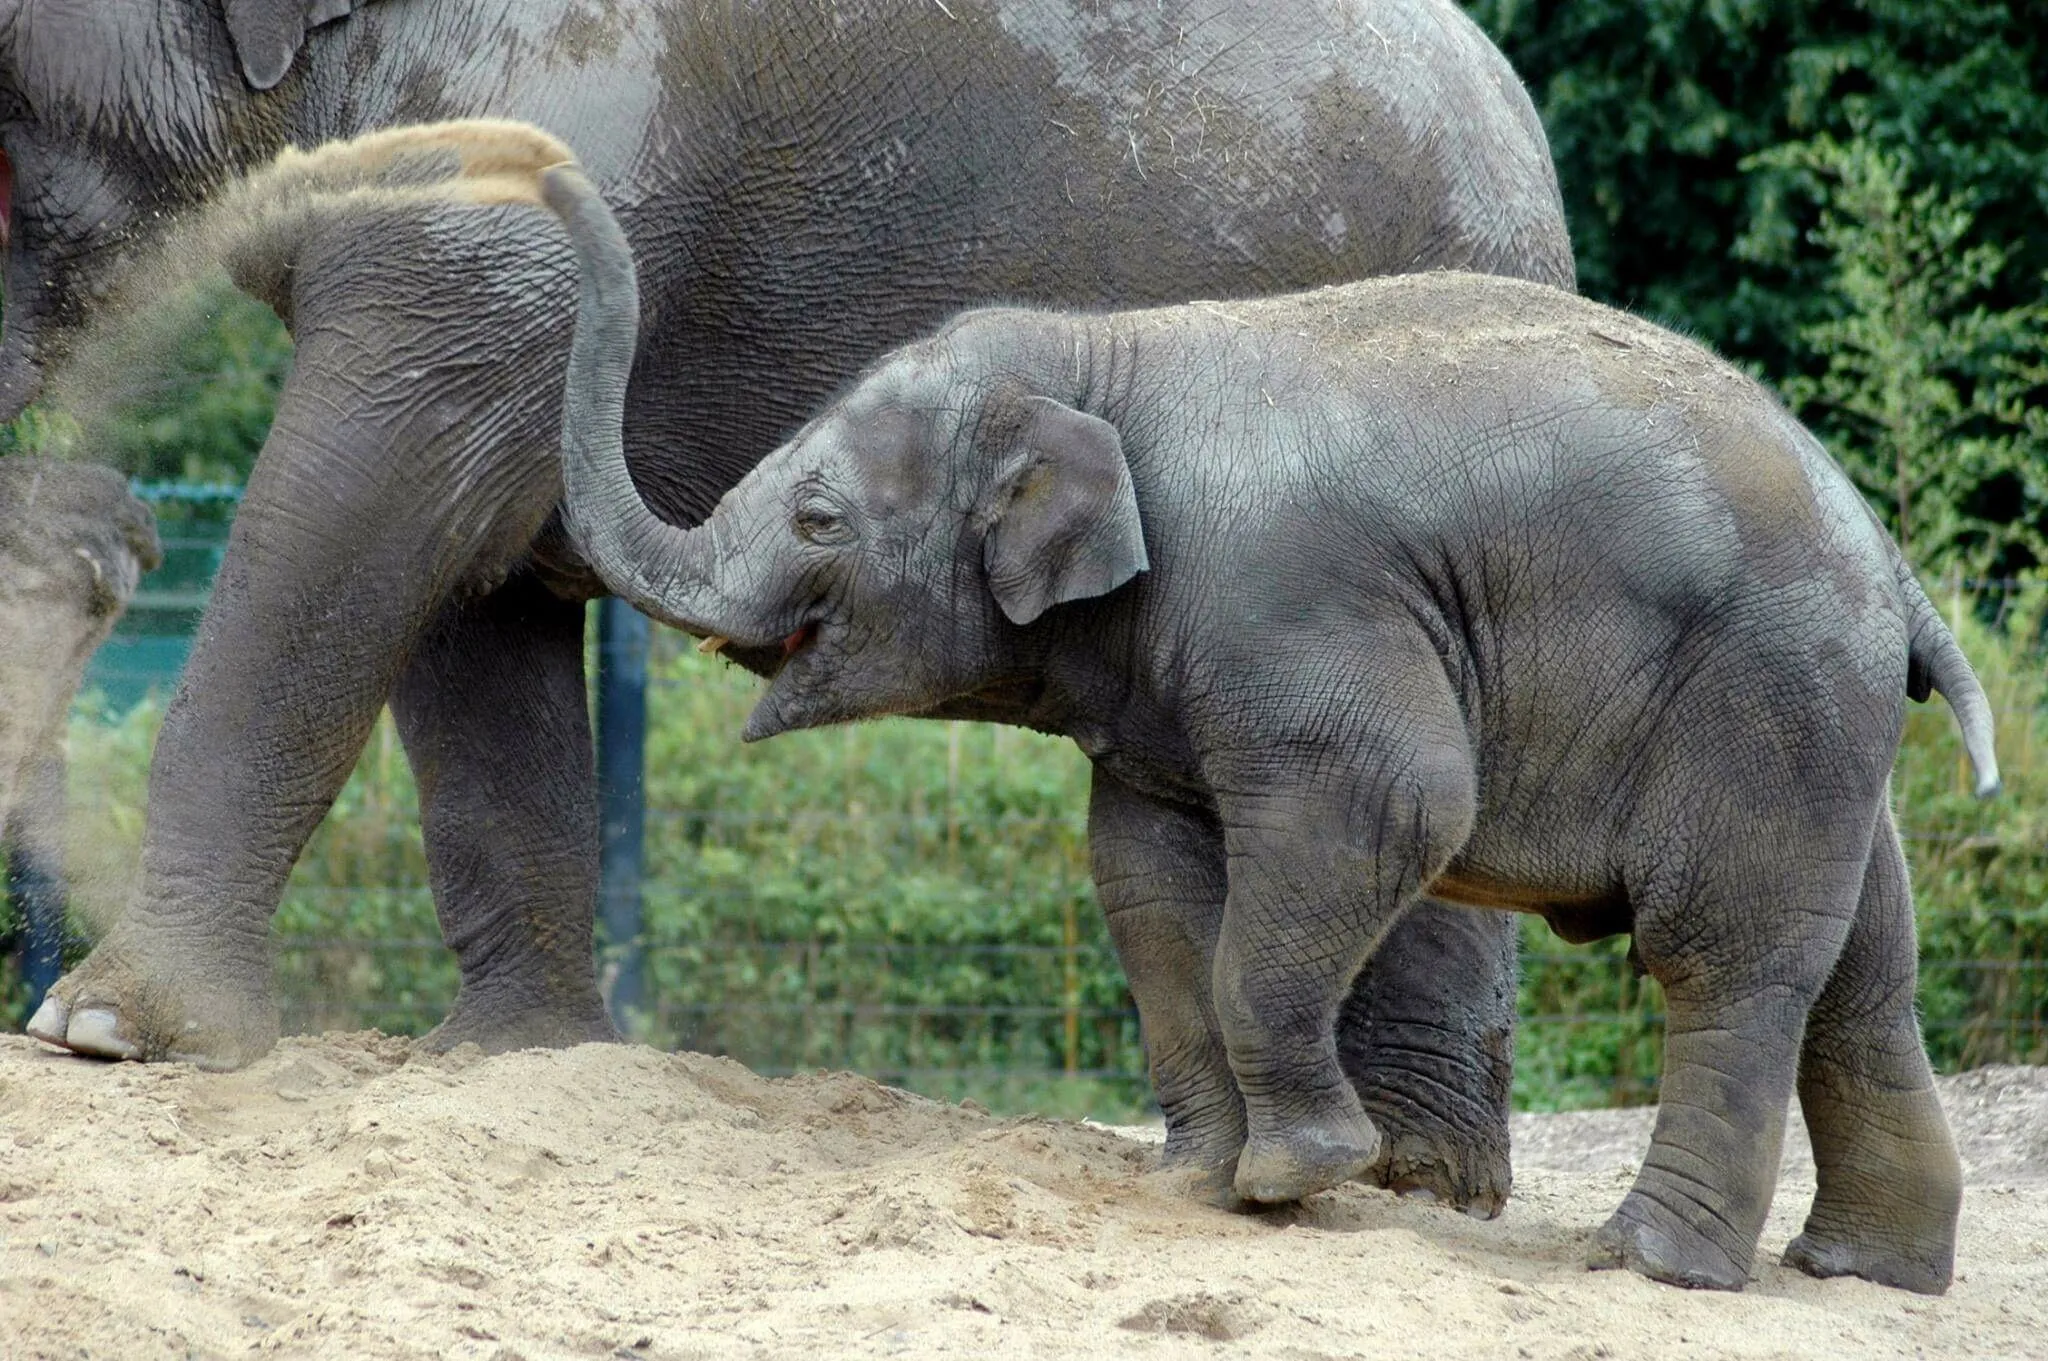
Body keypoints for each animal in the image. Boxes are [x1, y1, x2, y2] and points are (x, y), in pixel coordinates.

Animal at [541, 160, 1996, 1296]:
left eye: (818, 518)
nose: (541, 167)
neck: (1096, 360)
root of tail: (1890, 558)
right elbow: (1143, 871)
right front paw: (1199, 1184)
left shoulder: (1282, 596)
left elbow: (1393, 805)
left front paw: (1304, 1175)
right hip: (1824, 729)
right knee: (1866, 974)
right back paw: (1861, 1271)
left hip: (1762, 700)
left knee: (1723, 958)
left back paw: (1647, 1262)